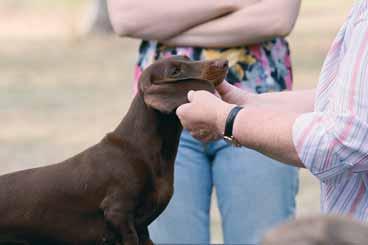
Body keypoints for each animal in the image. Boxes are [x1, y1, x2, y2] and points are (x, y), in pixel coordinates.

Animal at [0, 56, 227, 245]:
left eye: (187, 57)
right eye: (175, 71)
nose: (224, 62)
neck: (145, 151)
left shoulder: (142, 227)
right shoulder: (118, 213)